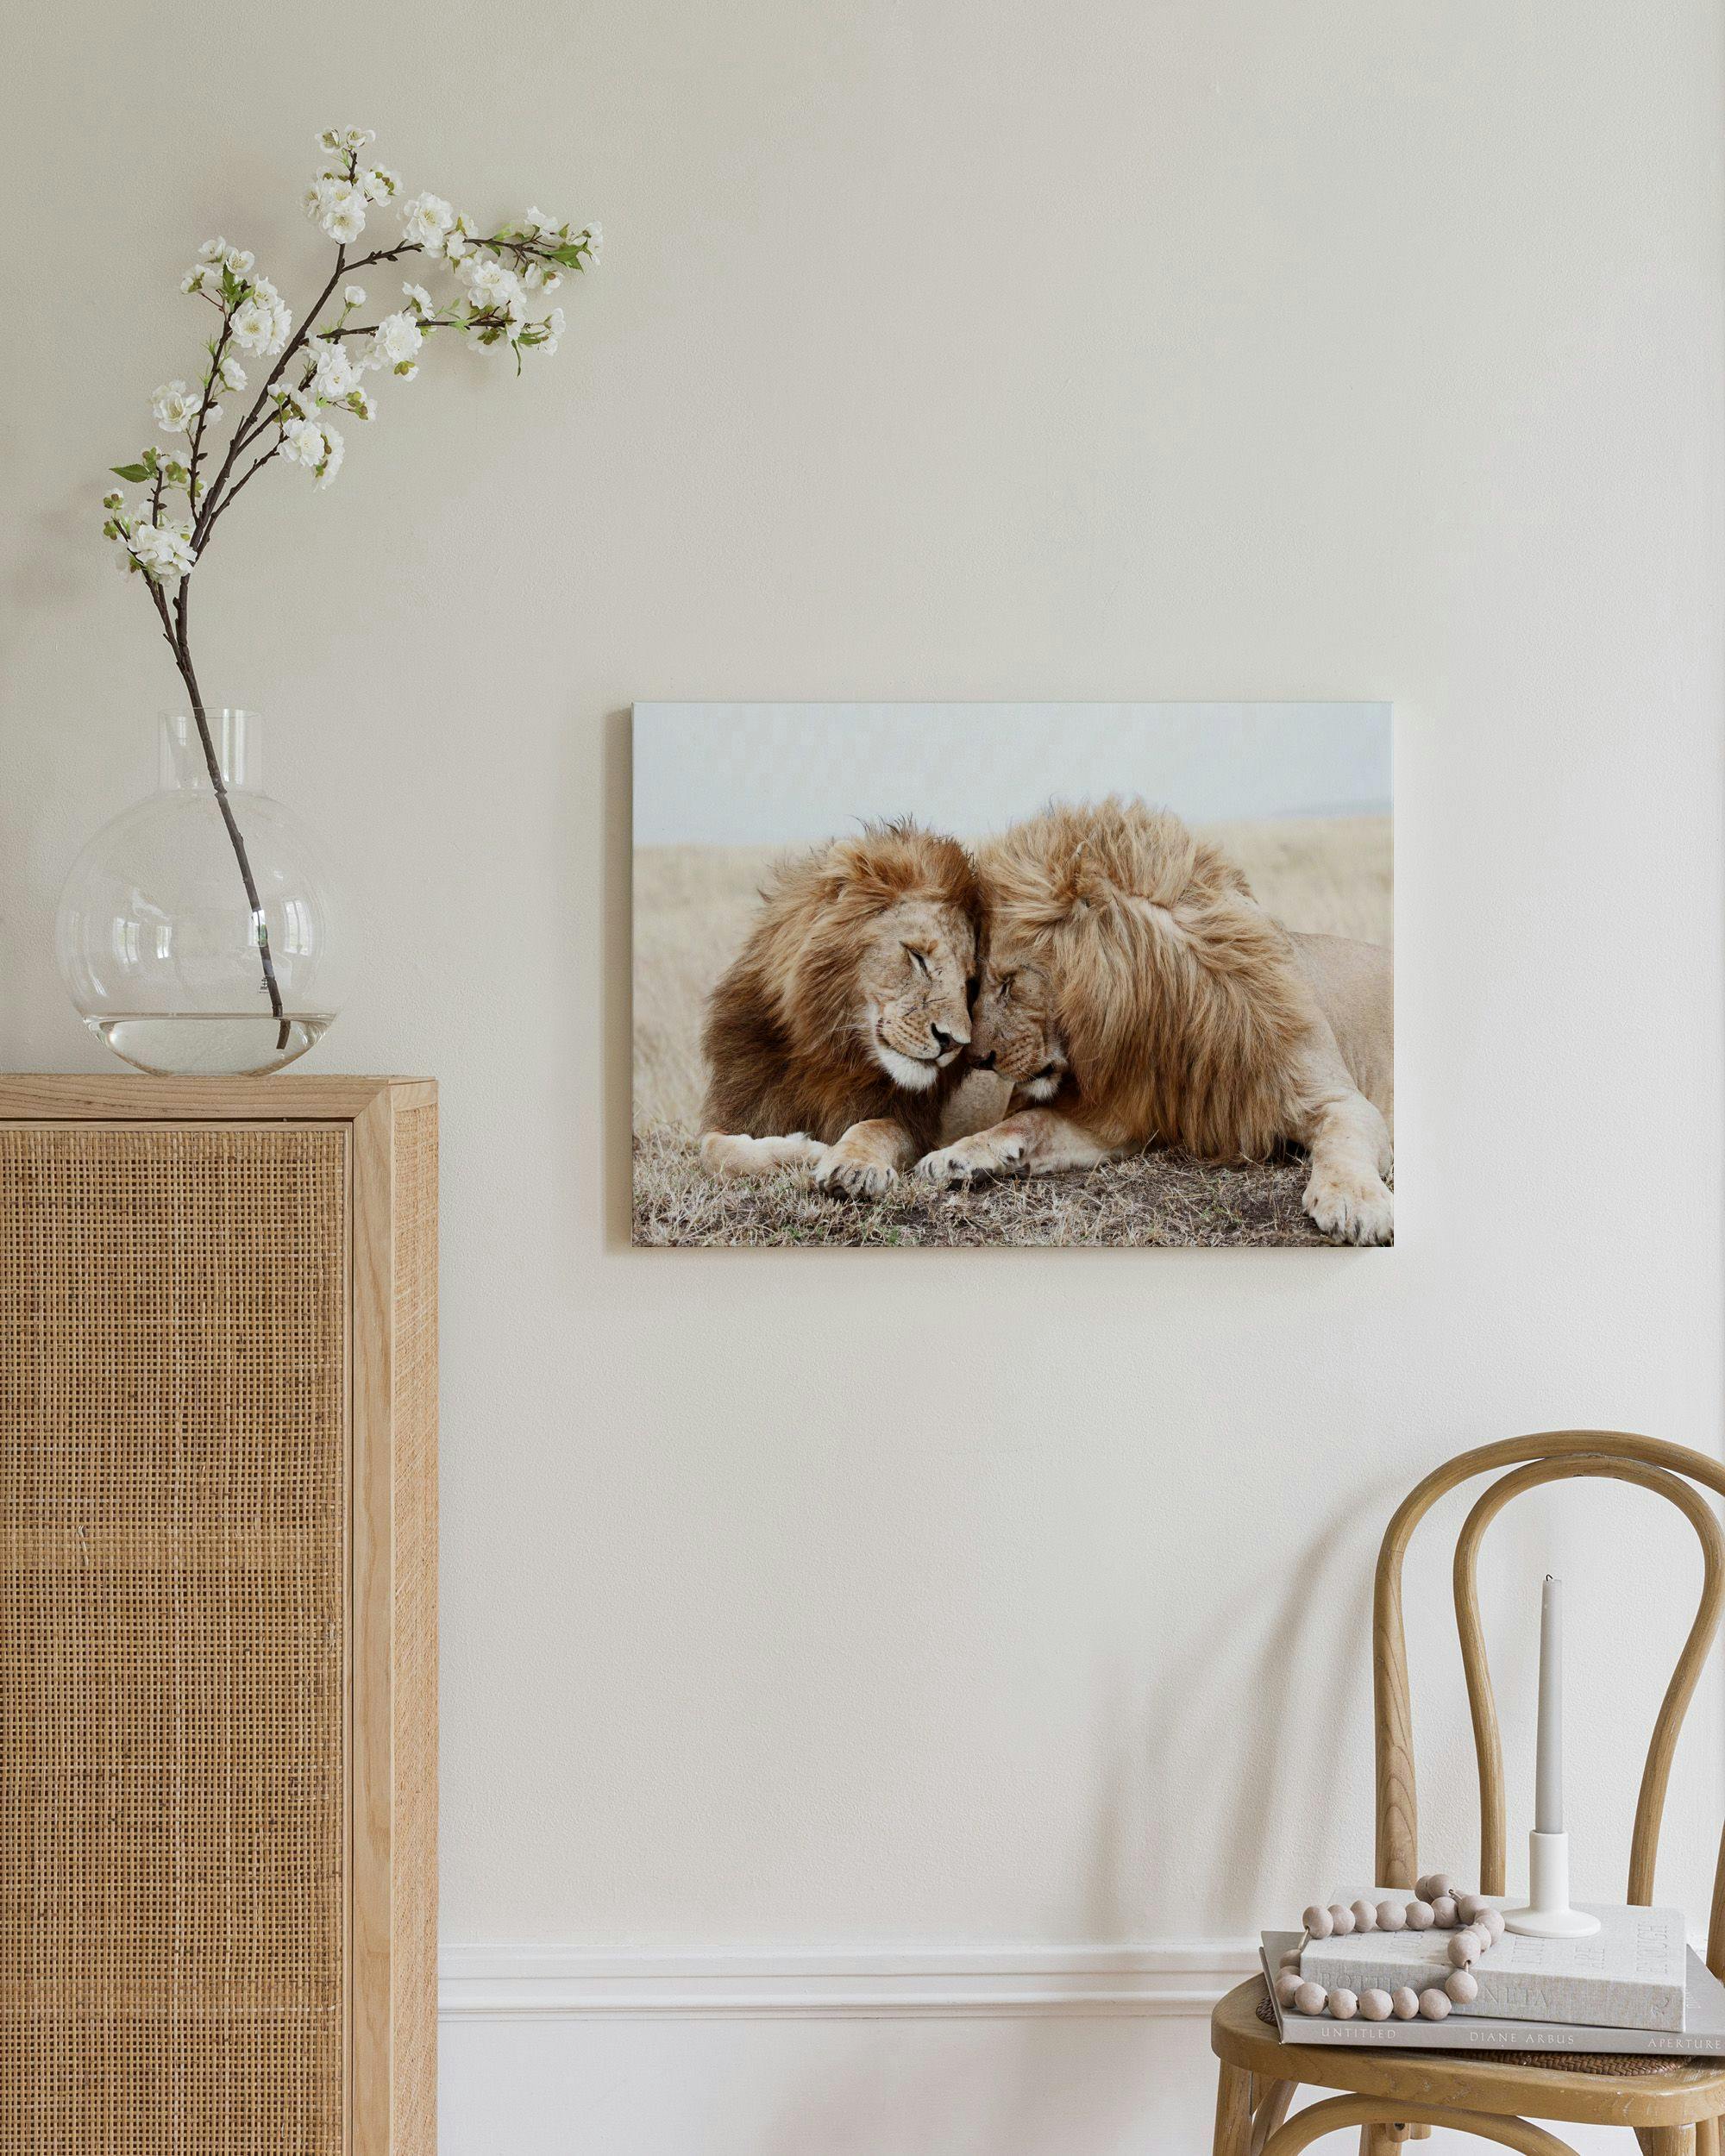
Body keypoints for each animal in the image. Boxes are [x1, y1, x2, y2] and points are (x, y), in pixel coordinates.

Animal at [699, 820, 982, 1196]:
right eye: (917, 956)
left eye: (970, 982)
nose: (954, 1042)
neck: (829, 1051)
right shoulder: (739, 1106)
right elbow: (714, 1151)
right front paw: (807, 1149)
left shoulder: (913, 1123)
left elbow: (873, 1128)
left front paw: (852, 1165)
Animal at [914, 798, 1394, 1244]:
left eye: (1009, 982)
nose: (977, 1059)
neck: (1167, 1014)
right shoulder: (1119, 1117)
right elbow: (1029, 1122)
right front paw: (956, 1155)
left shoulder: (1336, 1098)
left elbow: (1344, 1140)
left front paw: (1355, 1203)